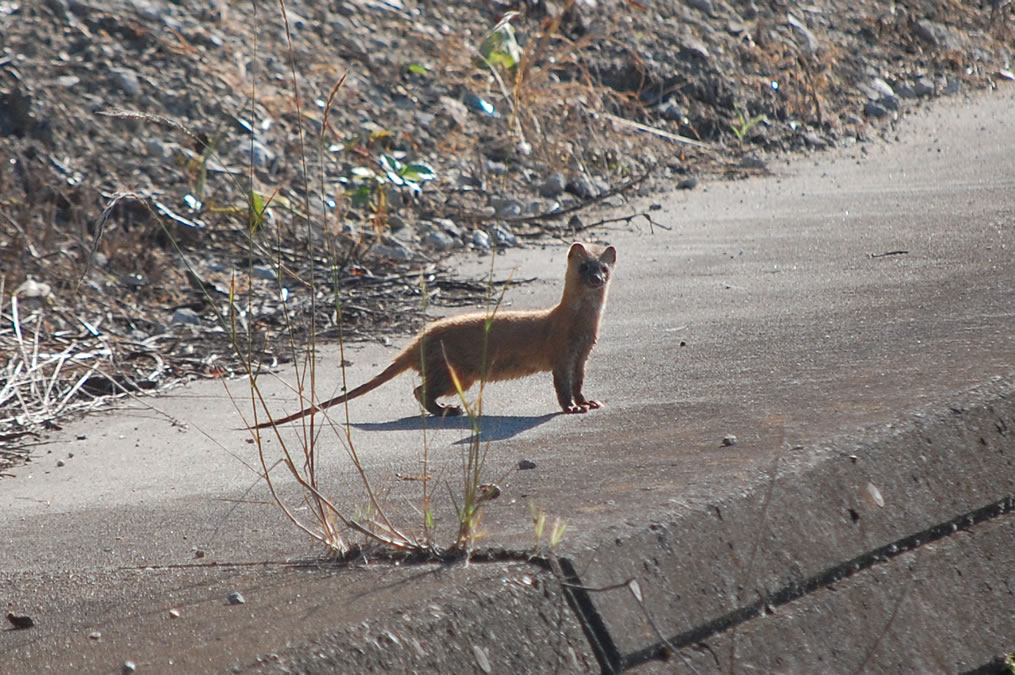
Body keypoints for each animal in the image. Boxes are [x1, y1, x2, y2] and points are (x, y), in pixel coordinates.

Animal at [255, 239, 617, 424]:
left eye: (605, 267)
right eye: (584, 266)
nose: (597, 279)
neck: (582, 326)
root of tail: (419, 339)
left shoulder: (582, 355)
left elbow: (578, 383)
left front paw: (589, 402)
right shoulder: (560, 351)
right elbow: (562, 386)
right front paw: (571, 408)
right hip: (456, 371)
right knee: (420, 390)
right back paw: (448, 410)